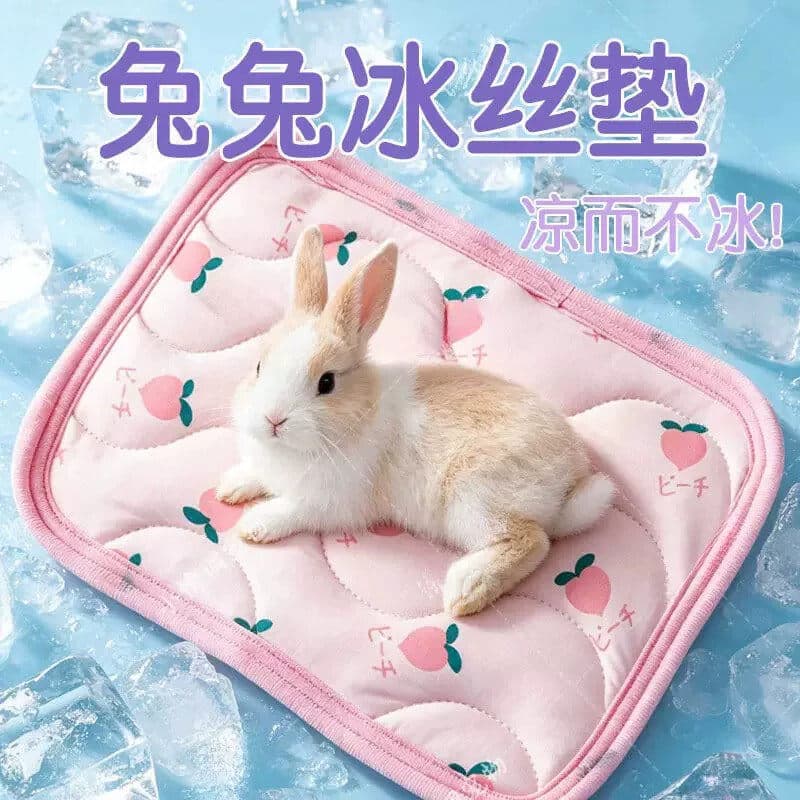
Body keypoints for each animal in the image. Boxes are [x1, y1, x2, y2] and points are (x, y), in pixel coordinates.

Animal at [217, 226, 615, 617]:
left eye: (326, 383)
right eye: (258, 367)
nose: (273, 419)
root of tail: (572, 478)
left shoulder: (330, 503)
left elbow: (293, 510)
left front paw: (253, 525)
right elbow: (255, 475)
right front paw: (230, 487)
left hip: (475, 498)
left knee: (533, 541)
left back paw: (465, 591)